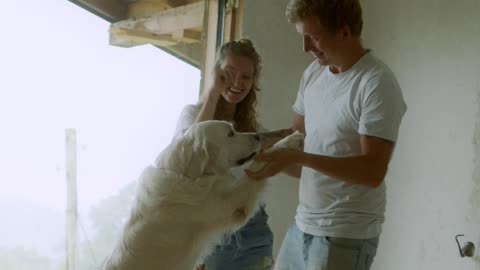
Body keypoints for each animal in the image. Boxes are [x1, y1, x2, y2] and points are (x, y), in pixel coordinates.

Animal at [101, 121, 304, 270]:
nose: (257, 136)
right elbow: (254, 168)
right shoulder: (230, 205)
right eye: (230, 133)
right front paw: (291, 140)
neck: (187, 175)